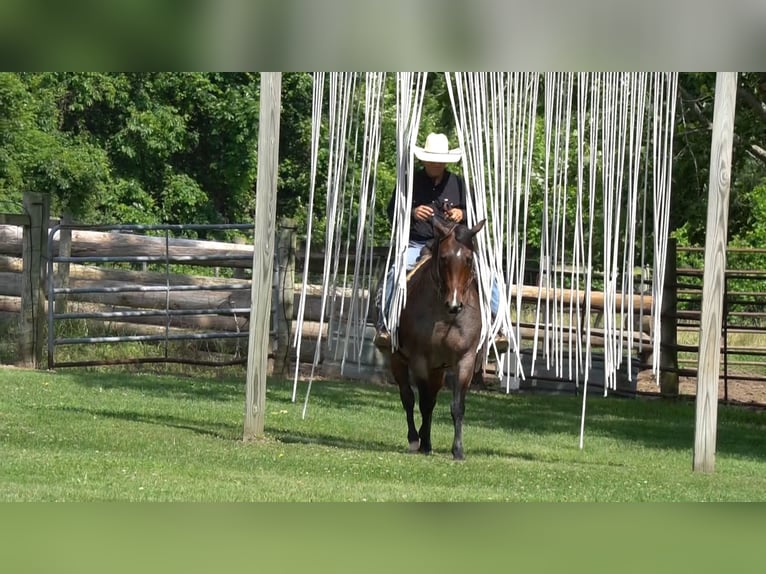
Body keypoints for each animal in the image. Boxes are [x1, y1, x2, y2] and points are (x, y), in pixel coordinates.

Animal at [388, 216, 485, 460]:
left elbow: (457, 406)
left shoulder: (465, 360)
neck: (446, 316)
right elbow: (422, 402)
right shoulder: (420, 360)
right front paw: (423, 442)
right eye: (443, 258)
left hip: (438, 370)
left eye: (469, 259)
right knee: (408, 397)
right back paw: (416, 439)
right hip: (397, 360)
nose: (455, 304)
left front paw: (458, 450)